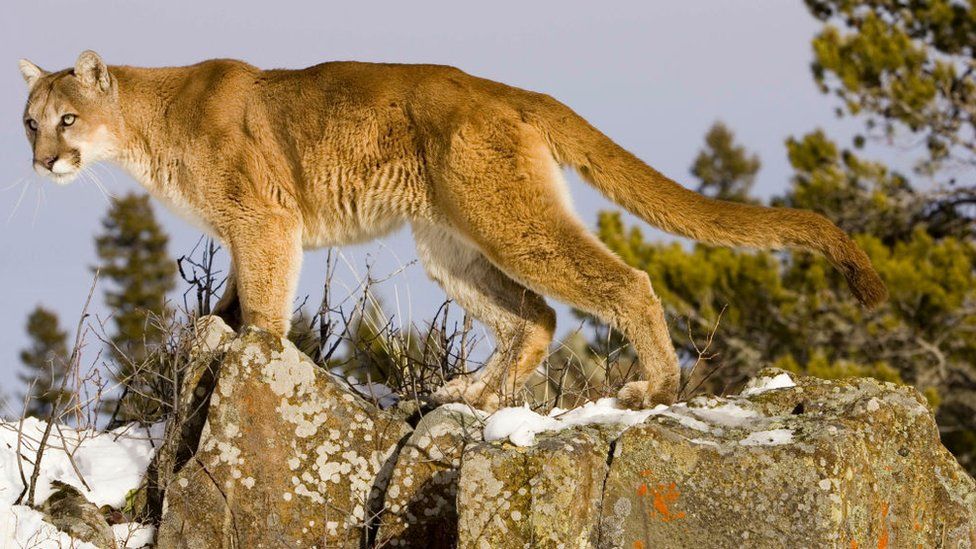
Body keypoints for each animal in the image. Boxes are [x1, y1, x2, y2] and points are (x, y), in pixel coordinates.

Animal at [19, 51, 888, 408]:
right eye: (29, 121)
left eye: (68, 119)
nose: (43, 161)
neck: (146, 125)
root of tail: (509, 88)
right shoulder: (245, 232)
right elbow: (228, 303)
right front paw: (215, 339)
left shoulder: (263, 219)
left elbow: (262, 308)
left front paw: (252, 357)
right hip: (449, 243)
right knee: (535, 314)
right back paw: (472, 391)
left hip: (508, 222)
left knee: (623, 281)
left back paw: (656, 386)